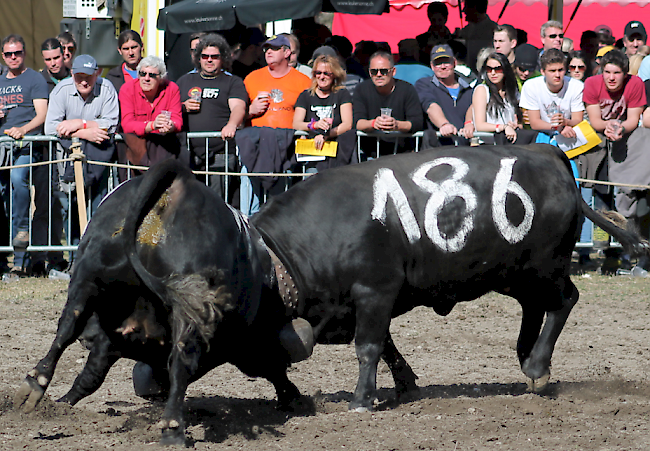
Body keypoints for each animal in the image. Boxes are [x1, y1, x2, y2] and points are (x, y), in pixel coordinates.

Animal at [12, 144, 644, 444]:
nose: (147, 384)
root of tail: (550, 155)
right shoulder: (360, 303)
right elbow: (383, 346)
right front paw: (402, 384)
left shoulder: (375, 290)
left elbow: (368, 347)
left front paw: (362, 399)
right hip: (517, 274)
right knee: (539, 308)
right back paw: (528, 362)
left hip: (544, 266)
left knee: (563, 302)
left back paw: (535, 365)